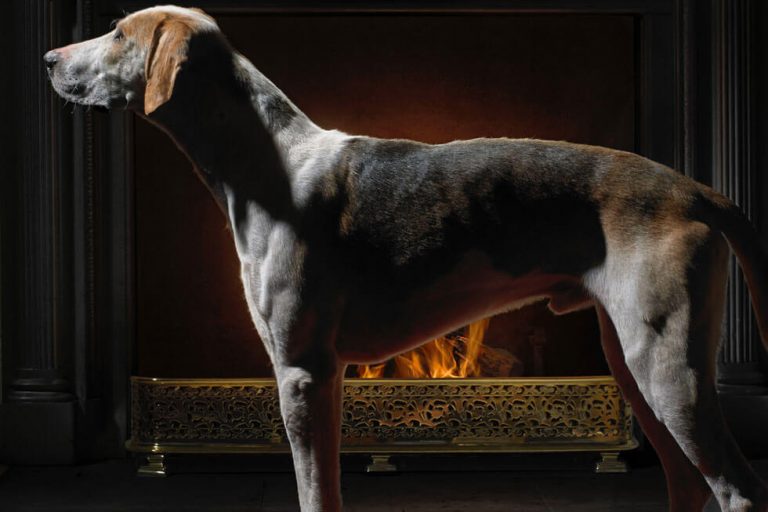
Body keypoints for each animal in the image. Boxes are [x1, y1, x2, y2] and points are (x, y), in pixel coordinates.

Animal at [45, 6, 768, 510]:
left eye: (117, 33)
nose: (49, 57)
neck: (265, 164)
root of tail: (695, 189)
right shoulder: (323, 375)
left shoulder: (303, 372)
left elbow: (317, 492)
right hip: (633, 367)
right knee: (689, 485)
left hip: (667, 368)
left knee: (736, 487)